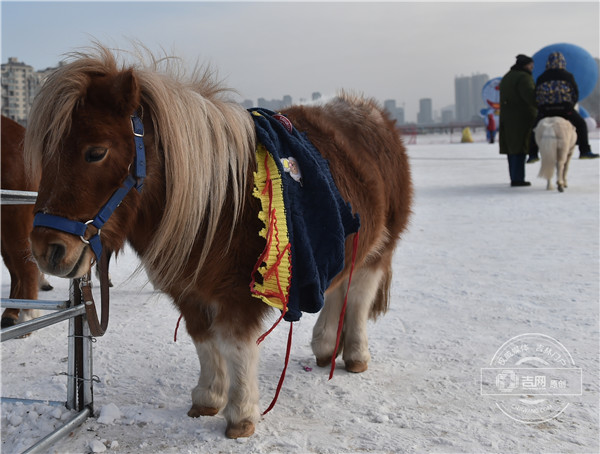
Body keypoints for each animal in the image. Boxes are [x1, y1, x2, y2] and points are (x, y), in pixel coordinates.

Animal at [24, 45, 412, 436]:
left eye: (96, 152)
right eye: (45, 154)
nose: (46, 250)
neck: (218, 201)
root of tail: (370, 111)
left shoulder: (240, 295)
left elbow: (236, 347)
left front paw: (241, 416)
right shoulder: (188, 290)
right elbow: (203, 341)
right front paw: (207, 398)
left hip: (381, 248)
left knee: (359, 295)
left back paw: (356, 355)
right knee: (338, 288)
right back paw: (325, 346)